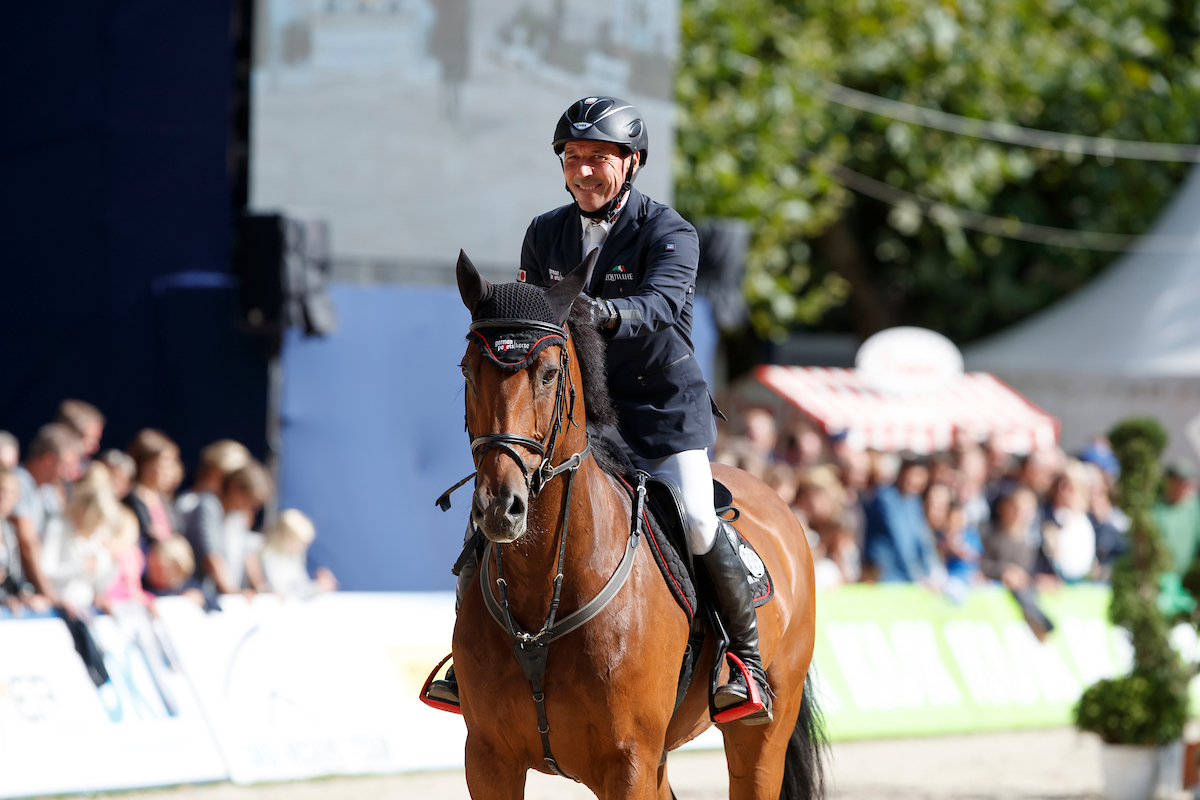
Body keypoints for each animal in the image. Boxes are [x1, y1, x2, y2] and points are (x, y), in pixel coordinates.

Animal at [451, 251, 825, 800]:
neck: (543, 590)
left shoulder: (628, 763)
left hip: (763, 731)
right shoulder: (488, 759)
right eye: (467, 370)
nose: (501, 506)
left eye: (548, 374)